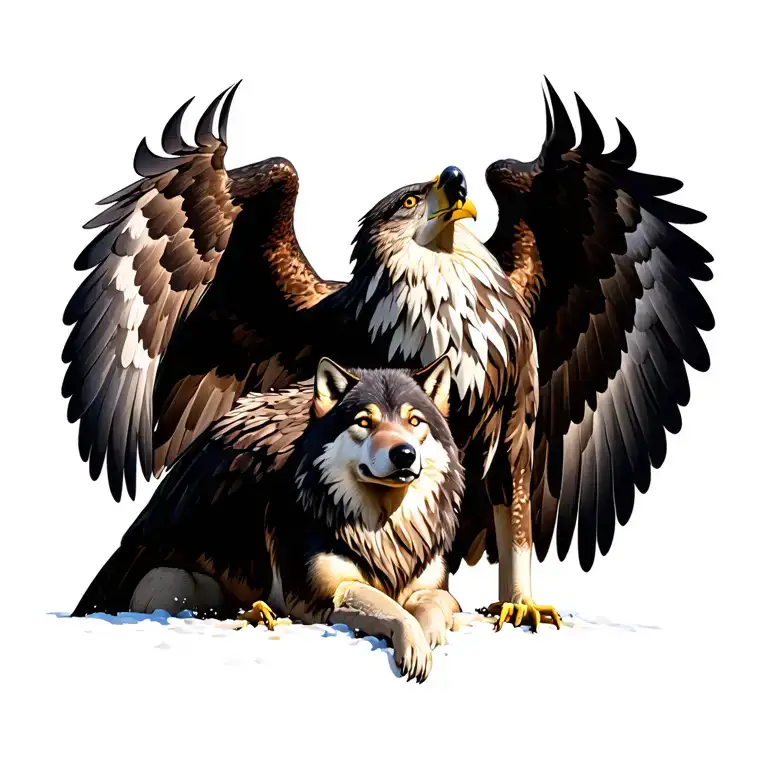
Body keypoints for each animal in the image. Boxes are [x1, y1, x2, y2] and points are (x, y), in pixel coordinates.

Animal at [72, 356, 464, 682]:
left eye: (414, 421)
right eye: (364, 422)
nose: (404, 454)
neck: (381, 527)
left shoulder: (434, 589)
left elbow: (431, 607)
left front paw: (428, 638)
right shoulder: (321, 596)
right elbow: (392, 609)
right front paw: (414, 643)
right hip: (169, 581)